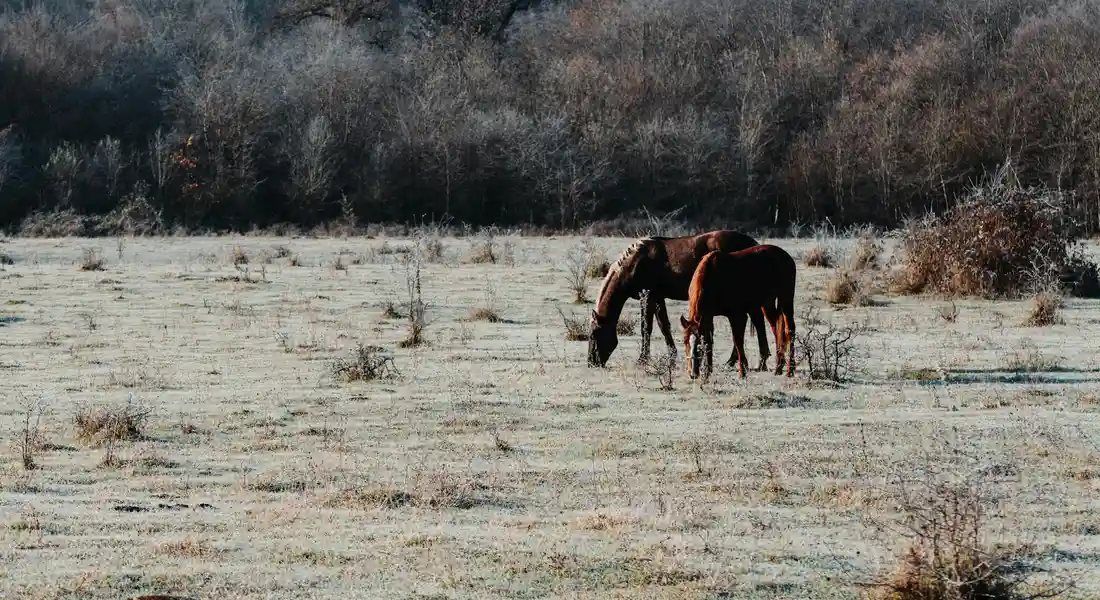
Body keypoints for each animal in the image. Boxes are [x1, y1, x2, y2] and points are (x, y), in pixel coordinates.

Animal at [587, 230, 772, 369]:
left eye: (594, 334)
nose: (591, 362)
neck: (635, 263)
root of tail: (753, 244)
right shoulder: (658, 298)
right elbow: (664, 326)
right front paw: (672, 355)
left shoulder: (648, 297)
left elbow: (646, 327)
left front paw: (643, 359)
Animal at [678, 245, 797, 382]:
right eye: (685, 341)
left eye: (699, 343)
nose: (693, 373)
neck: (712, 278)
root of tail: (786, 256)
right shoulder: (707, 317)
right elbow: (710, 340)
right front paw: (708, 372)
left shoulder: (737, 316)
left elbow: (737, 340)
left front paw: (742, 371)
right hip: (768, 304)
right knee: (776, 328)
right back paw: (778, 367)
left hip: (785, 298)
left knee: (789, 330)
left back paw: (790, 370)